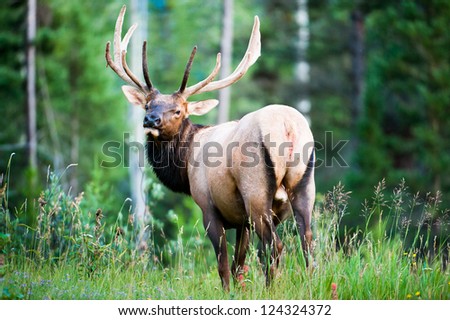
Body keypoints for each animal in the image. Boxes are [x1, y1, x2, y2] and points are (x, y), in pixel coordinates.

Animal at [107, 5, 314, 290]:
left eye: (178, 110)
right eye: (147, 105)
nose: (150, 120)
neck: (184, 167)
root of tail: (288, 126)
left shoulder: (208, 206)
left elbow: (223, 266)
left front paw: (228, 293)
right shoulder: (242, 220)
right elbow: (239, 264)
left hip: (256, 192)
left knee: (275, 246)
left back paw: (271, 290)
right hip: (304, 184)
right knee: (308, 243)